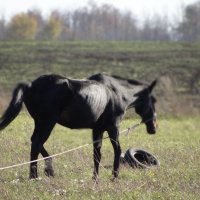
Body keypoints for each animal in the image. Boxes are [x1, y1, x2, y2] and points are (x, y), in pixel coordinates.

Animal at [0, 73, 157, 180]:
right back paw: (35, 175)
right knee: (37, 144)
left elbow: (97, 154)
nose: (154, 127)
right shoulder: (113, 128)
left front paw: (95, 178)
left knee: (35, 142)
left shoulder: (97, 129)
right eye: (153, 100)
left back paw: (47, 170)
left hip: (40, 122)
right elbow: (117, 151)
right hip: (48, 122)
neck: (116, 93)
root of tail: (30, 85)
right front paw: (114, 176)